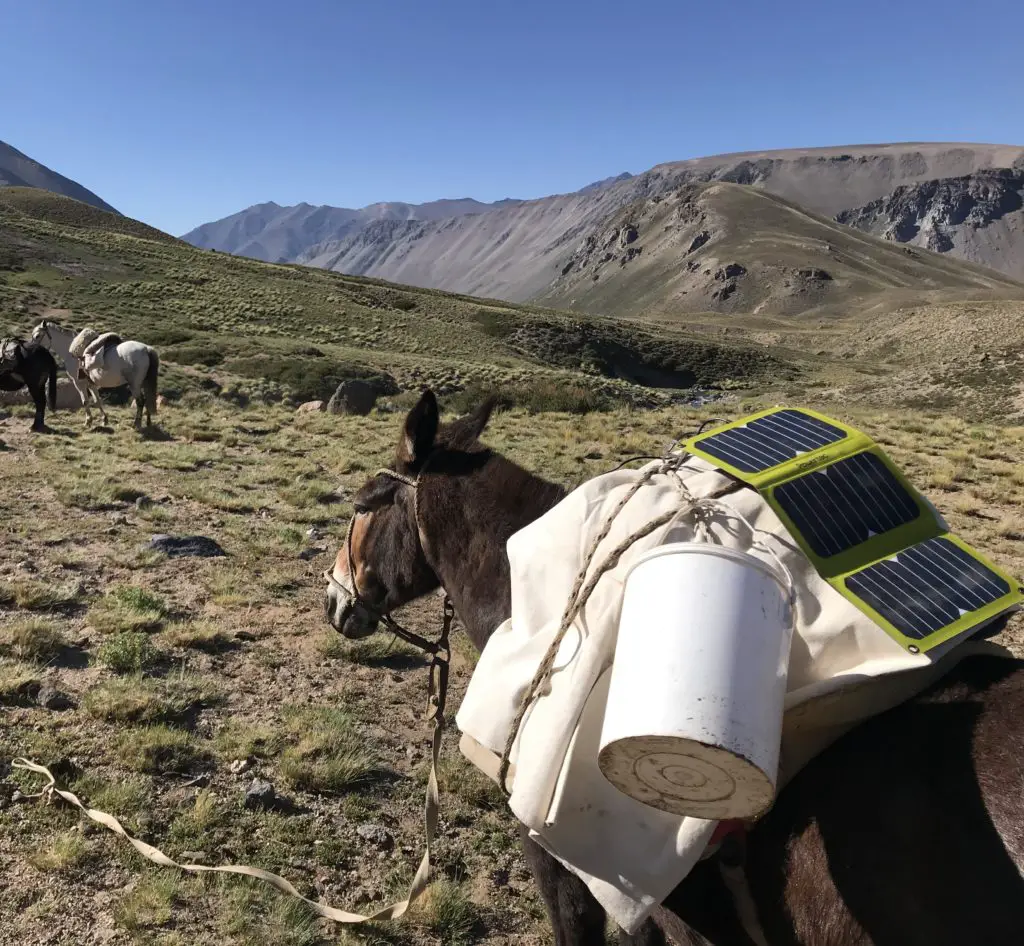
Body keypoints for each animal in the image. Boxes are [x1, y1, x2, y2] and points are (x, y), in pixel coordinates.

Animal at [32, 321, 160, 432]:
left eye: (37, 336)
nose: (32, 349)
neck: (71, 352)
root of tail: (146, 349)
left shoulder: (79, 383)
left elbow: (85, 401)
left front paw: (88, 422)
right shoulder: (91, 383)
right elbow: (97, 400)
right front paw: (104, 420)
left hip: (134, 385)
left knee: (140, 401)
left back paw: (136, 424)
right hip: (144, 382)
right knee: (147, 399)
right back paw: (148, 423)